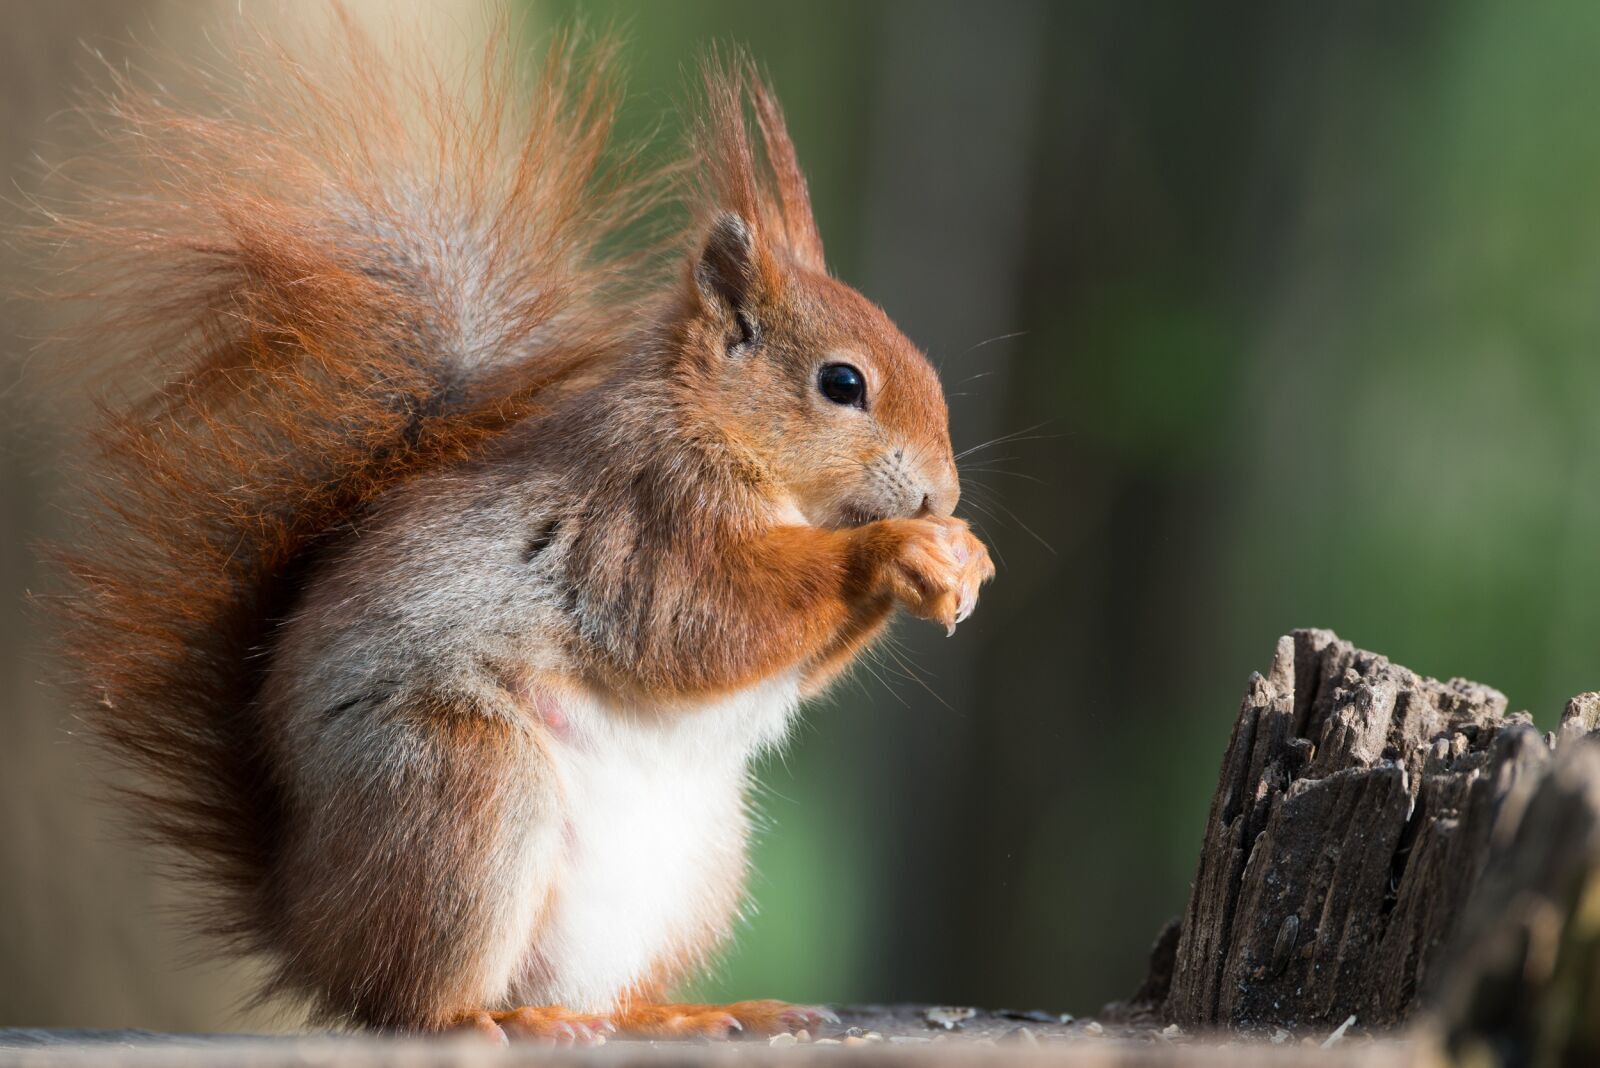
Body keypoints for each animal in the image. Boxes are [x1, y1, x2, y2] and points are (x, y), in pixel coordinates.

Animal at [38, 15, 993, 1042]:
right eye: (842, 383)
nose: (940, 496)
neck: (717, 430)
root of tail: (308, 924)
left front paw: (963, 555)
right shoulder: (641, 516)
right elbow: (705, 622)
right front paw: (894, 549)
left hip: (696, 867)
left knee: (596, 993)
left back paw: (679, 1013)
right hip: (464, 787)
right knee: (412, 1000)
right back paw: (496, 1019)